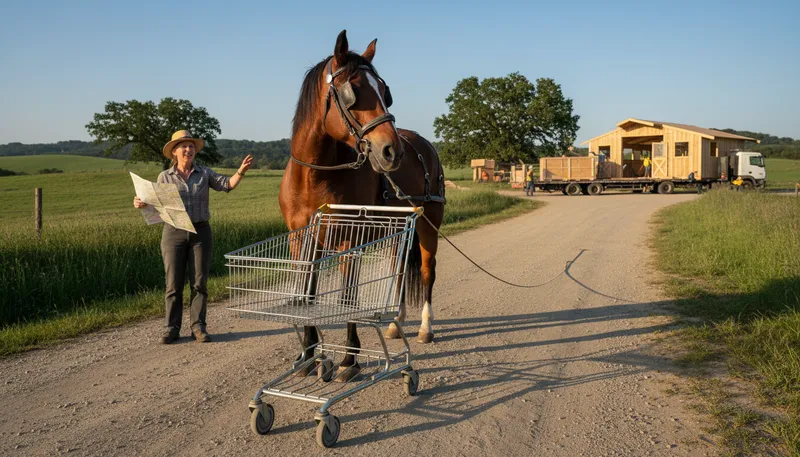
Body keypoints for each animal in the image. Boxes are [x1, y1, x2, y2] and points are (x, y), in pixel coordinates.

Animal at [278, 30, 445, 382]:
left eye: (384, 90)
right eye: (353, 91)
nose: (391, 150)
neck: (314, 177)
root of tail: (423, 144)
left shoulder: (348, 241)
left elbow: (348, 298)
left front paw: (349, 360)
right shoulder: (302, 241)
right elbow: (307, 295)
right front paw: (309, 355)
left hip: (428, 226)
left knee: (427, 271)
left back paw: (425, 327)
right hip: (398, 231)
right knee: (398, 270)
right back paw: (395, 324)